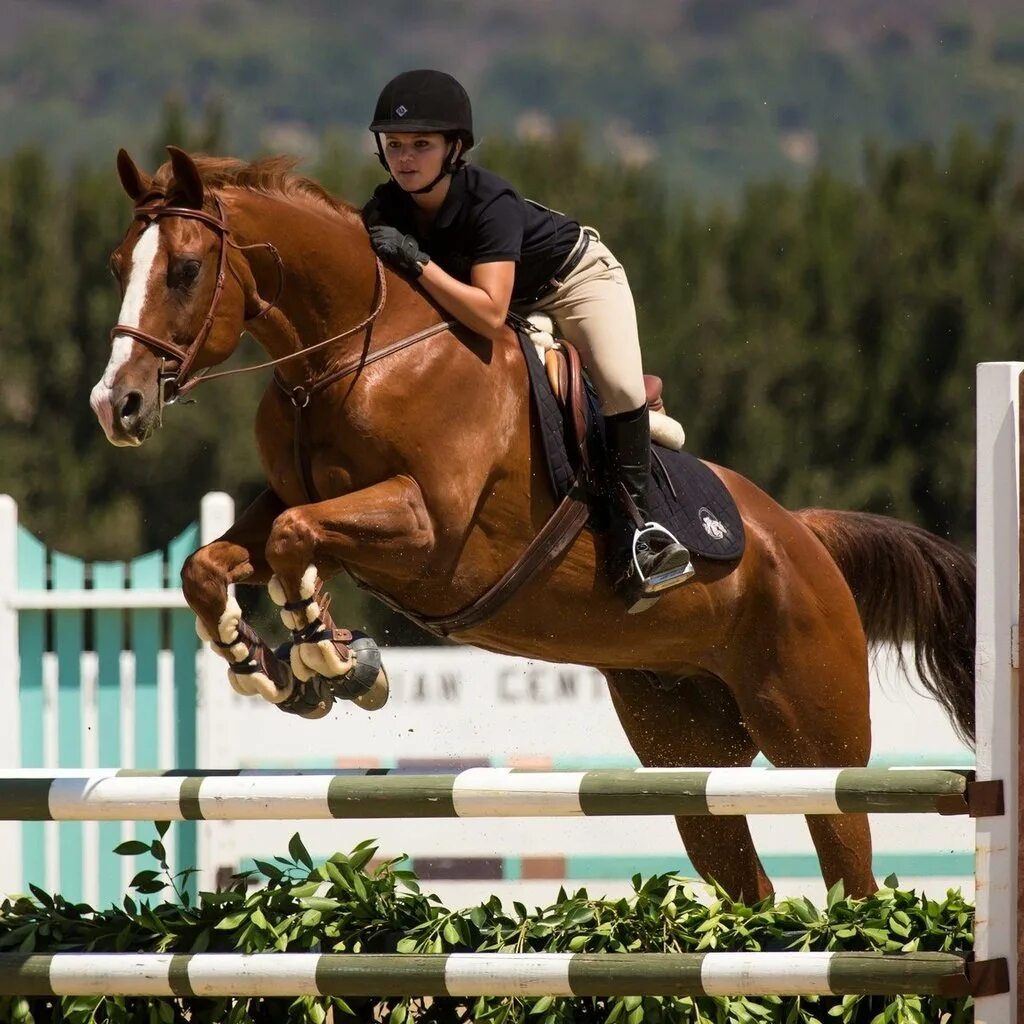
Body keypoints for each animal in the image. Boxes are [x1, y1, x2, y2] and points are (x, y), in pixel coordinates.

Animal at [90, 148, 974, 901]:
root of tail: (801, 536)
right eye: (117, 267)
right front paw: (277, 666)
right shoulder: (299, 503)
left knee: (850, 872)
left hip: (815, 743)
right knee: (748, 886)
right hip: (687, 751)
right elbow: (217, 563)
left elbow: (292, 542)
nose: (116, 404)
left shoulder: (428, 528)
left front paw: (331, 659)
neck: (354, 357)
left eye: (185, 269)